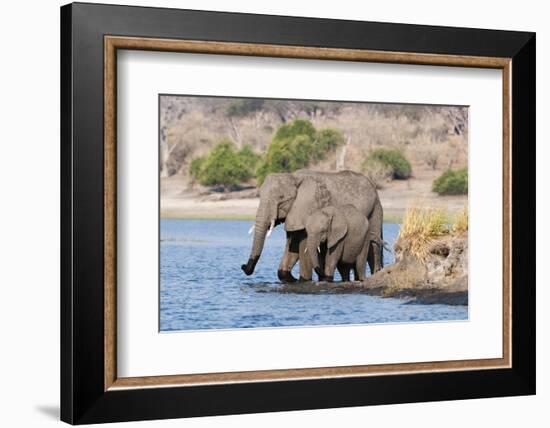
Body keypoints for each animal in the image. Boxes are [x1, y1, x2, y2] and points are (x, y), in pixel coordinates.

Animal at [242, 169, 384, 282]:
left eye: (282, 198)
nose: (243, 267)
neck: (293, 177)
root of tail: (373, 186)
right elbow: (293, 245)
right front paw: (291, 278)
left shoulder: (307, 209)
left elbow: (303, 247)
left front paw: (303, 280)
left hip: (374, 211)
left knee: (373, 247)